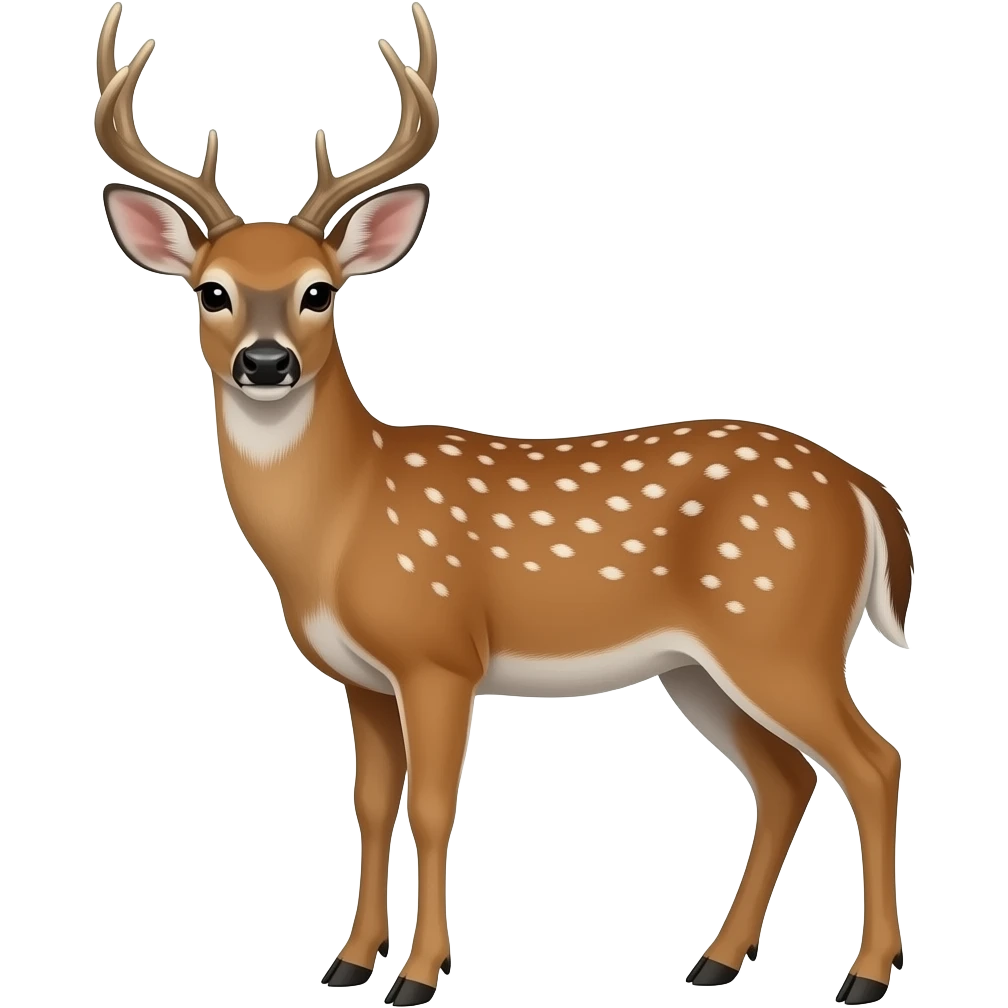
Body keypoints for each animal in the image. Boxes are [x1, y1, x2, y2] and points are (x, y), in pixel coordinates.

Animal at [93, 3, 909, 1004]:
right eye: (212, 292)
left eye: (320, 293)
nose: (266, 363)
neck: (341, 523)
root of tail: (864, 489)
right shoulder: (364, 677)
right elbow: (372, 804)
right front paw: (348, 963)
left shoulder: (440, 651)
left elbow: (435, 805)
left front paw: (418, 974)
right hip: (700, 665)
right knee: (787, 776)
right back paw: (715, 961)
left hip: (782, 634)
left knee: (872, 761)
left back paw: (864, 974)